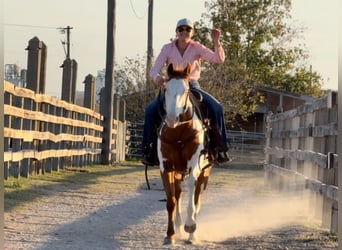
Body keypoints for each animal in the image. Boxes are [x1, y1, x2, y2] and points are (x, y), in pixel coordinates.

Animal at [157, 63, 211, 245]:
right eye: (166, 88)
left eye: (186, 90)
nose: (172, 118)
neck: (179, 133)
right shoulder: (166, 167)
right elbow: (171, 201)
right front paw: (170, 235)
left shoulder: (195, 165)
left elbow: (192, 195)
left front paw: (190, 226)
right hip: (178, 171)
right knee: (179, 194)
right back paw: (180, 227)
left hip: (205, 171)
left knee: (197, 197)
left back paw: (191, 233)